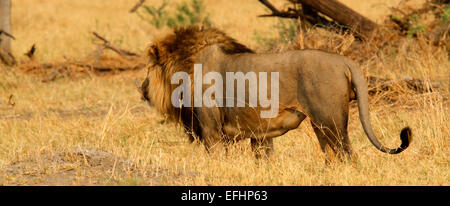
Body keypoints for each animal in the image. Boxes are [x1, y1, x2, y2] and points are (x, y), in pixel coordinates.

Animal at [140, 25, 412, 162]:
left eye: (148, 69)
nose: (141, 88)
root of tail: (345, 61)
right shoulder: (258, 134)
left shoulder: (210, 130)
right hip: (320, 125)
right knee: (333, 155)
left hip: (331, 121)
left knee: (348, 155)